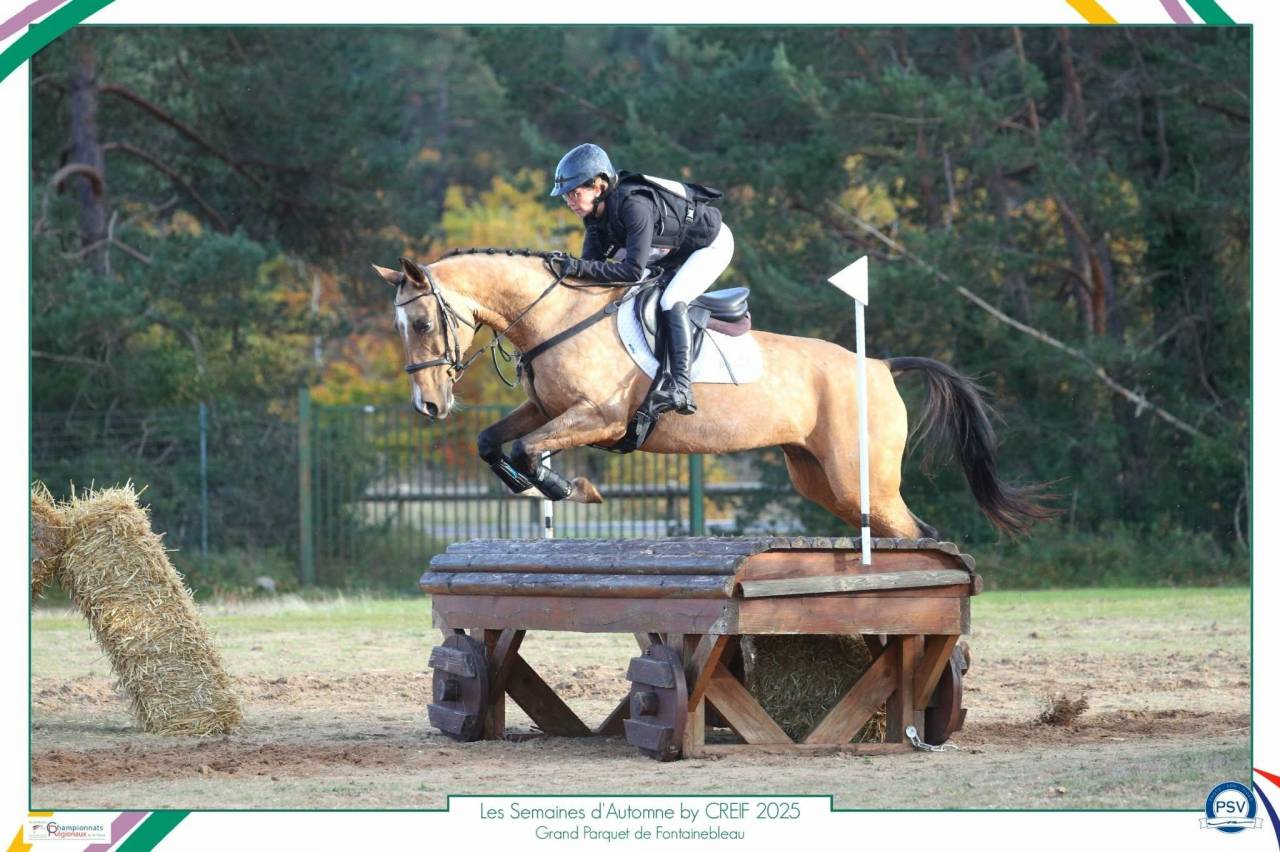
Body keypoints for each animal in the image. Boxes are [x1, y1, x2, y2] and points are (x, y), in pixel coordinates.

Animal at [372, 249, 1053, 539]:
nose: (428, 407)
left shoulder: (599, 416)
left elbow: (532, 449)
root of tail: (881, 365)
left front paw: (573, 488)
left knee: (916, 533)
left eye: (423, 323)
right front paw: (536, 485)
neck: (556, 313)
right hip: (824, 482)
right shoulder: (546, 407)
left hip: (864, 481)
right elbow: (494, 442)